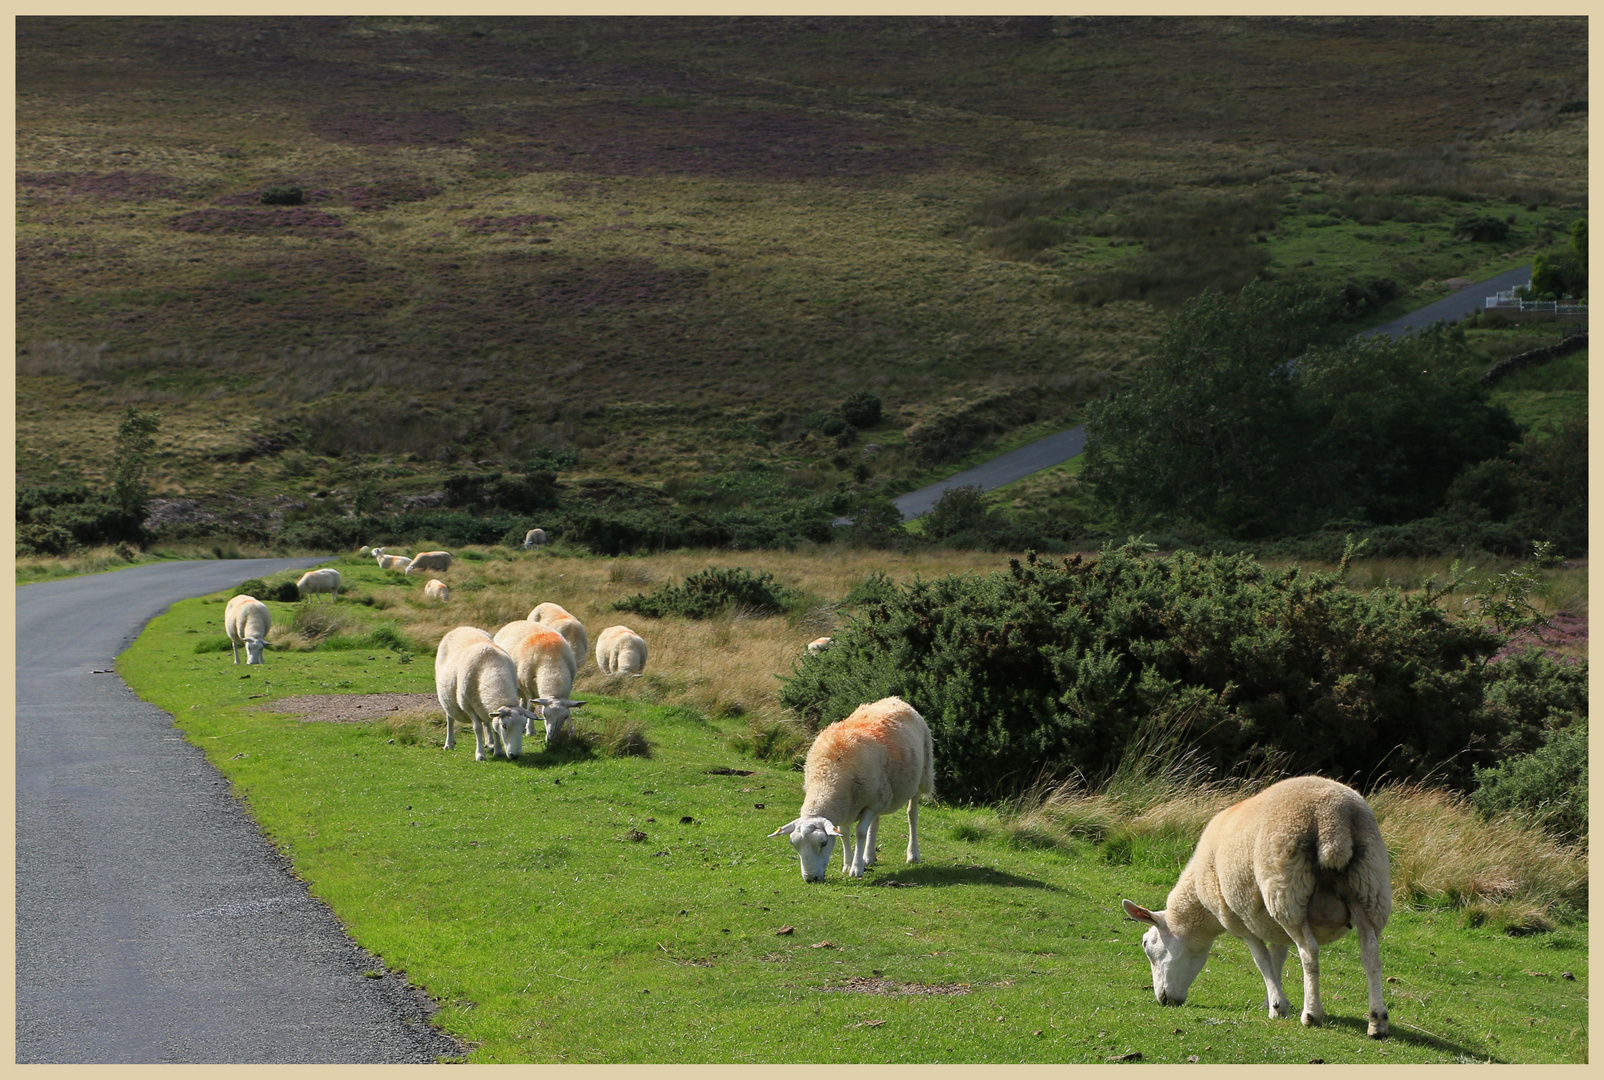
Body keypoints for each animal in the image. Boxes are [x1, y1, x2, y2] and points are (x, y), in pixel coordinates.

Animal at [433, 622, 538, 757]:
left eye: (523, 725)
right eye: (504, 726)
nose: (515, 755)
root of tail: (462, 627)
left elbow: (493, 727)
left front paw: (498, 751)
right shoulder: (468, 707)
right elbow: (477, 728)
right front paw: (480, 755)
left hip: (481, 705)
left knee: (486, 721)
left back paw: (490, 744)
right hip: (448, 699)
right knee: (450, 718)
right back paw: (449, 744)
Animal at [769, 696, 936, 879]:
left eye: (823, 843)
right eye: (794, 844)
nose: (811, 879)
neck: (829, 777)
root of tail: (895, 699)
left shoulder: (870, 805)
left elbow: (860, 833)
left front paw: (856, 868)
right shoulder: (848, 805)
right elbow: (844, 833)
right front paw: (848, 864)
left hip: (921, 777)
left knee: (912, 815)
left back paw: (913, 854)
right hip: (881, 791)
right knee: (875, 823)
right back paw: (869, 856)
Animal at [1116, 776, 1392, 1033]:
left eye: (1147, 944)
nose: (1163, 1000)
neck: (1202, 910)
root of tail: (1332, 819)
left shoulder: (1240, 919)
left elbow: (1262, 960)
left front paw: (1277, 1007)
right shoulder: (1271, 924)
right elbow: (1278, 957)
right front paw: (1272, 999)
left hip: (1286, 890)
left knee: (1309, 953)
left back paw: (1312, 1014)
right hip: (1369, 885)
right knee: (1371, 953)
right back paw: (1377, 1021)